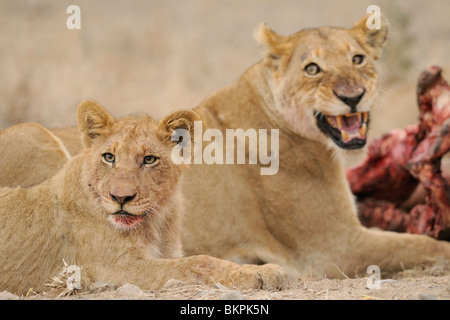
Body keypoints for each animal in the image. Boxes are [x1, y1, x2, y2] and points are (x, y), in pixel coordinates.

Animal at [0, 100, 286, 296]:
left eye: (149, 159)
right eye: (109, 157)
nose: (120, 197)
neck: (155, 222)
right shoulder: (116, 269)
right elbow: (198, 262)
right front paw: (263, 272)